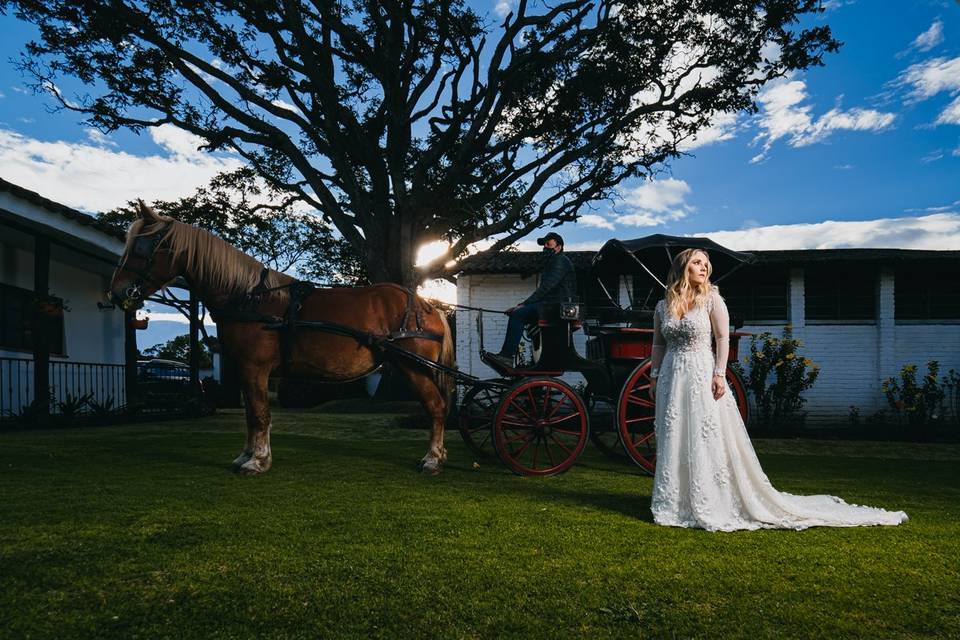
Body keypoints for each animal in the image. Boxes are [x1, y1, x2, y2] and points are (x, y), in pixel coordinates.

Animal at [109, 202, 458, 472]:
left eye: (142, 247)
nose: (117, 292)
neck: (250, 298)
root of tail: (427, 305)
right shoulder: (247, 369)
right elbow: (251, 414)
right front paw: (246, 455)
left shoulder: (255, 367)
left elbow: (260, 413)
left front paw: (257, 461)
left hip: (414, 366)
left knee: (436, 407)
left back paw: (431, 459)